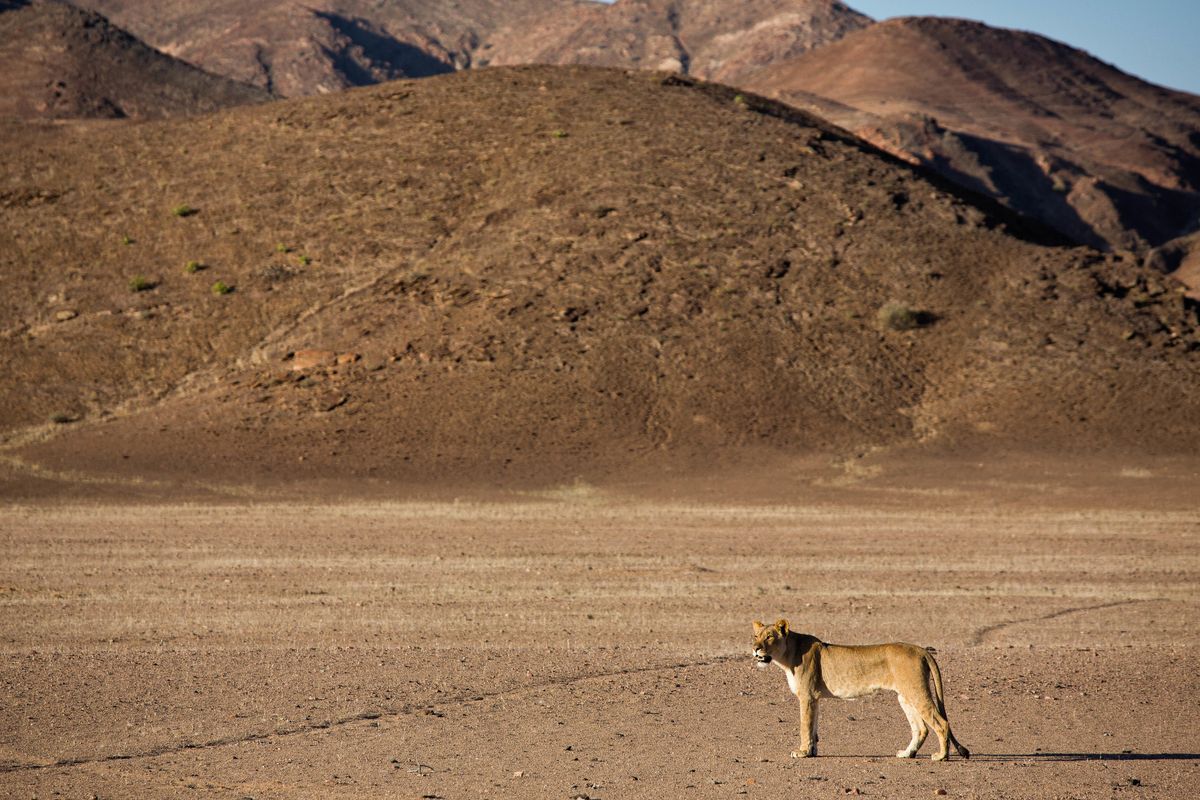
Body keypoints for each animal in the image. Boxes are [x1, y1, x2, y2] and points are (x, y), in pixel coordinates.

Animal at [751, 619, 970, 761]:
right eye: (755, 636)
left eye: (769, 637)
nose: (755, 648)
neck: (788, 656)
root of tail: (921, 649)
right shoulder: (815, 698)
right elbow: (813, 727)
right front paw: (812, 751)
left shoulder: (806, 696)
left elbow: (805, 727)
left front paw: (802, 753)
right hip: (905, 696)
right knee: (921, 728)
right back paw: (907, 754)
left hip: (916, 691)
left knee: (941, 723)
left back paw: (941, 756)